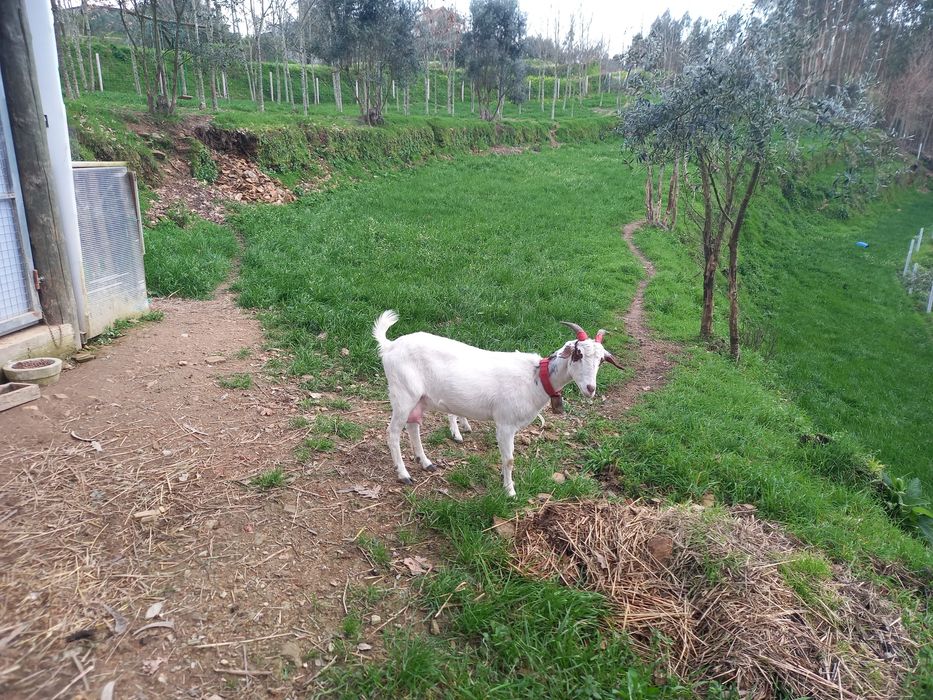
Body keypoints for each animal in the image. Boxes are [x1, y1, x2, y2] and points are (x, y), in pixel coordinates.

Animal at [372, 310, 624, 496]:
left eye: (602, 360)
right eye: (577, 354)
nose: (590, 389)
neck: (535, 378)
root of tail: (390, 346)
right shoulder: (505, 423)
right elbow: (509, 459)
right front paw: (510, 491)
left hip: (420, 398)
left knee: (413, 426)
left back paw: (425, 462)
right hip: (402, 394)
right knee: (392, 433)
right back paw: (404, 474)